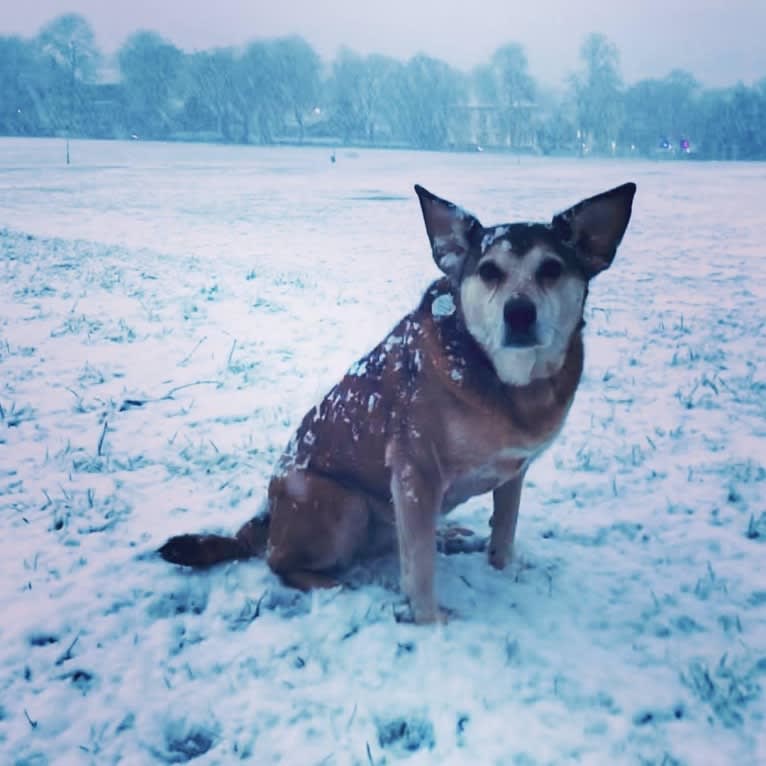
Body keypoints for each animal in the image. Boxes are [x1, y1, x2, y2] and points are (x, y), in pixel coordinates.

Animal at [160, 183, 636, 628]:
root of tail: (262, 522)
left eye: (552, 269)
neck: (505, 381)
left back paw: (450, 535)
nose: (519, 314)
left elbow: (504, 531)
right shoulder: (415, 469)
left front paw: (503, 572)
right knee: (281, 563)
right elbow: (420, 566)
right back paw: (343, 588)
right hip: (335, 499)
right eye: (488, 271)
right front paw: (432, 621)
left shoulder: (515, 470)